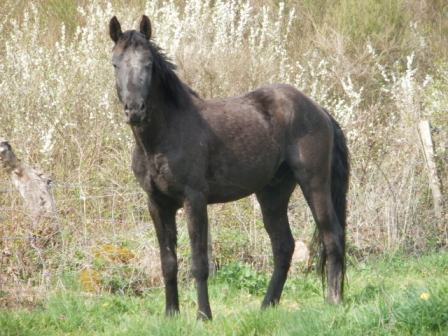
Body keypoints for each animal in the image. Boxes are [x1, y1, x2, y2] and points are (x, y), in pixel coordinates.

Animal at [108, 16, 350, 320]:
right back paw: (267, 306)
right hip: (272, 194)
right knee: (284, 246)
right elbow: (168, 262)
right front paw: (171, 314)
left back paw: (333, 301)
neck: (163, 138)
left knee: (332, 236)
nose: (135, 110)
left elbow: (199, 263)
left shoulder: (194, 200)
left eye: (148, 64)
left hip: (314, 184)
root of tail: (319, 110)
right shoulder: (157, 204)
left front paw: (203, 316)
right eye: (115, 63)